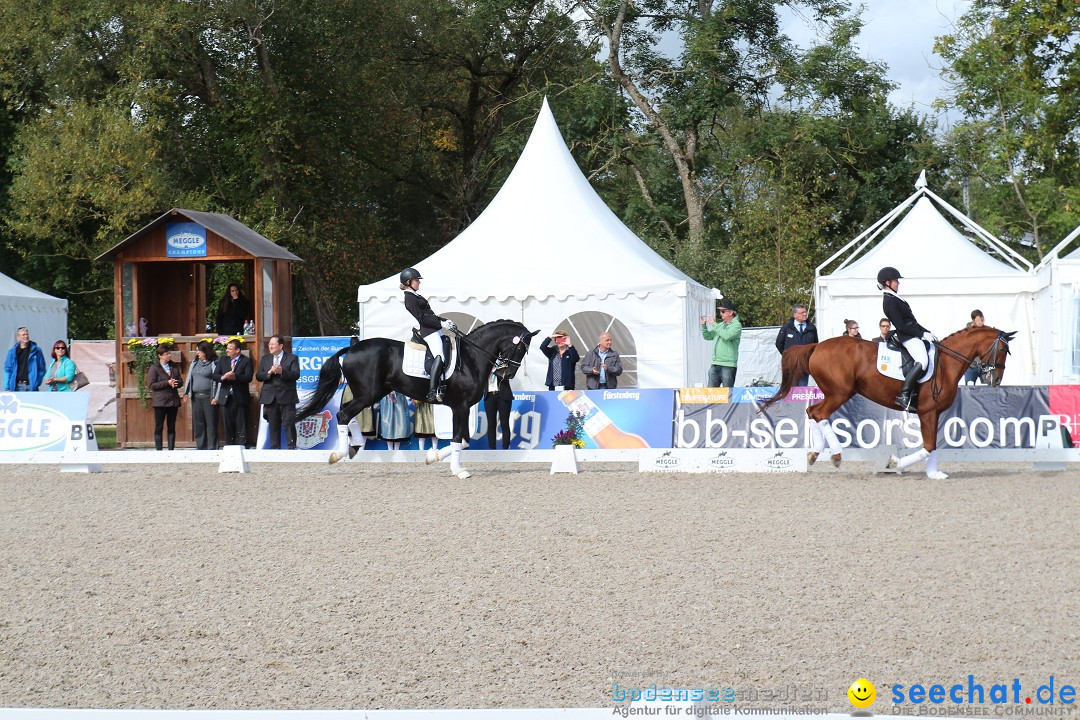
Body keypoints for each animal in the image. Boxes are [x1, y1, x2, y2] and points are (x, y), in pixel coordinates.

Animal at [298, 321, 537, 479]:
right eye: (519, 348)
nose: (508, 374)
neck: (472, 358)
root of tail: (352, 348)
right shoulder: (460, 406)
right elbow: (458, 439)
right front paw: (458, 470)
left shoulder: (463, 408)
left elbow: (464, 441)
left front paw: (432, 457)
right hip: (367, 393)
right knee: (343, 414)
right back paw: (338, 454)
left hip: (372, 393)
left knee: (347, 413)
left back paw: (354, 446)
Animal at [760, 325, 1010, 479]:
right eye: (1003, 349)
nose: (996, 380)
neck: (946, 364)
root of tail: (816, 346)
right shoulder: (927, 412)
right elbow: (928, 446)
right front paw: (895, 463)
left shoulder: (934, 413)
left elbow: (932, 446)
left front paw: (934, 474)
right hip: (839, 393)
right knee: (819, 414)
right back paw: (836, 455)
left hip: (835, 393)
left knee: (812, 411)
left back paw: (815, 453)